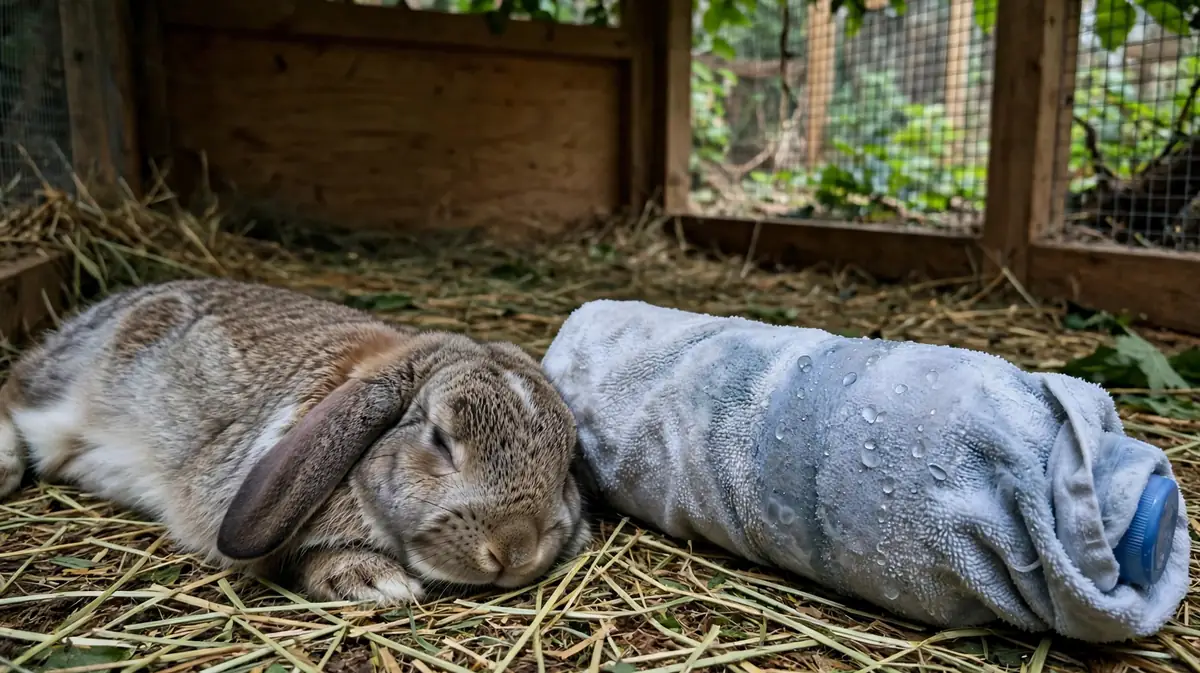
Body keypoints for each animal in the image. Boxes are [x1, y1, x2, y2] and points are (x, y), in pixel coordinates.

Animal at [0, 278, 592, 604]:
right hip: (59, 398)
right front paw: (377, 582)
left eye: (566, 465)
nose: (515, 550)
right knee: (14, 389)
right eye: (441, 441)